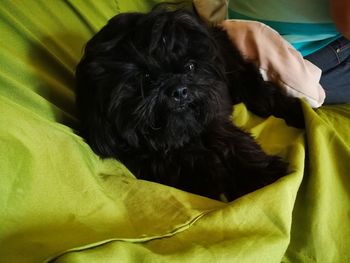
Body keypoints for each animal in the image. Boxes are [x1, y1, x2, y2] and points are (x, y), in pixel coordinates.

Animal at [74, 7, 304, 201]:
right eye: (146, 77)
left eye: (191, 67)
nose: (179, 90)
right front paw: (210, 173)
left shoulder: (214, 121)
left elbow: (234, 144)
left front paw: (265, 175)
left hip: (240, 78)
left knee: (264, 95)